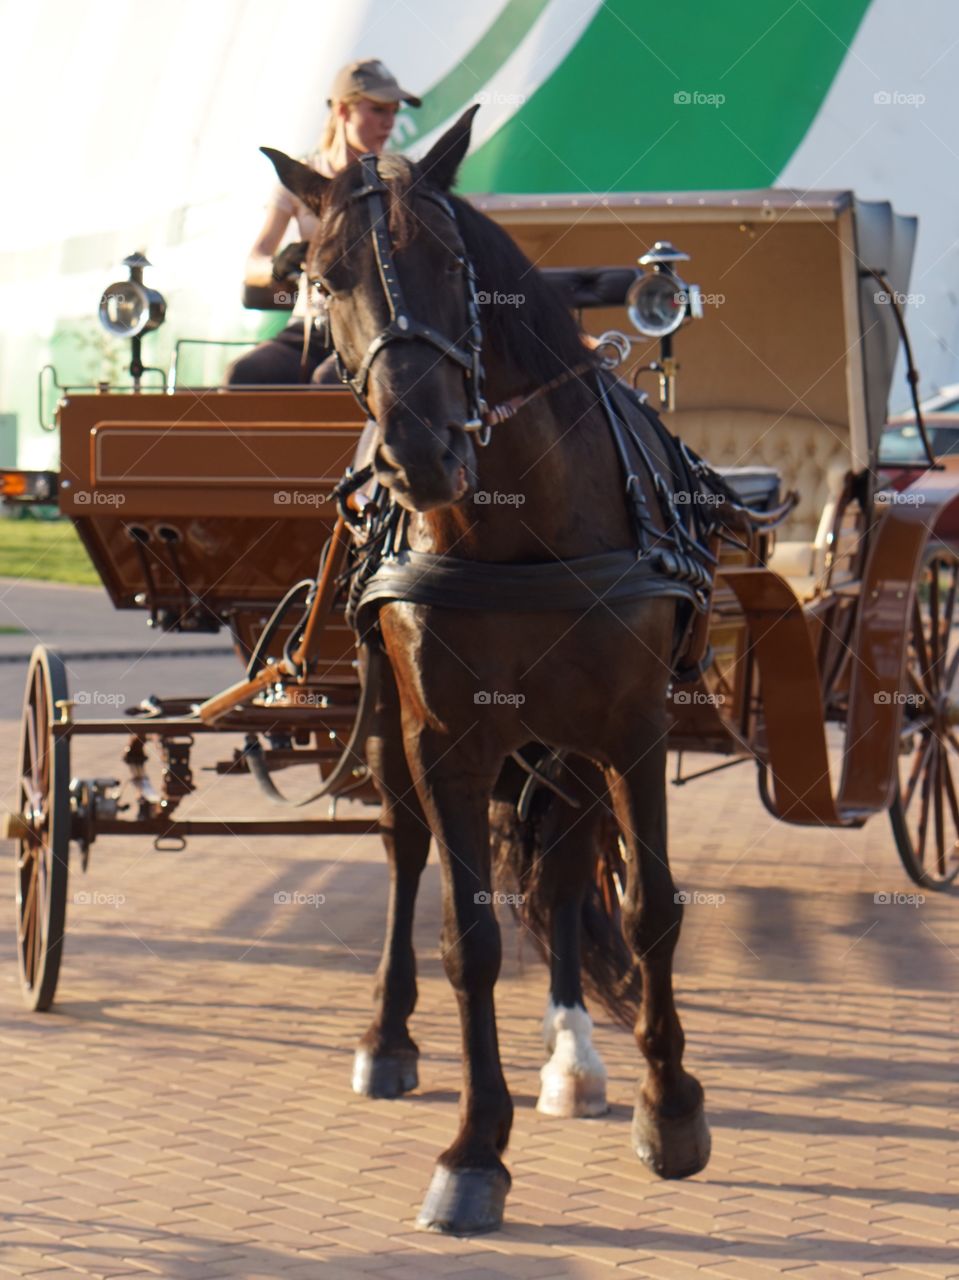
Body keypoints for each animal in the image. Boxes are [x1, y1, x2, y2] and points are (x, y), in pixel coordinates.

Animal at [263, 105, 715, 1234]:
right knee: (404, 847)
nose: (419, 452)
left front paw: (670, 1107)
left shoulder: (633, 725)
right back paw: (388, 1038)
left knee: (562, 864)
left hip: (571, 741)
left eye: (449, 262)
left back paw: (573, 1053)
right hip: (393, 721)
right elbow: (465, 939)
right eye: (322, 275)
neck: (519, 523)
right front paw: (474, 1151)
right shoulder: (447, 738)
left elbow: (649, 907)